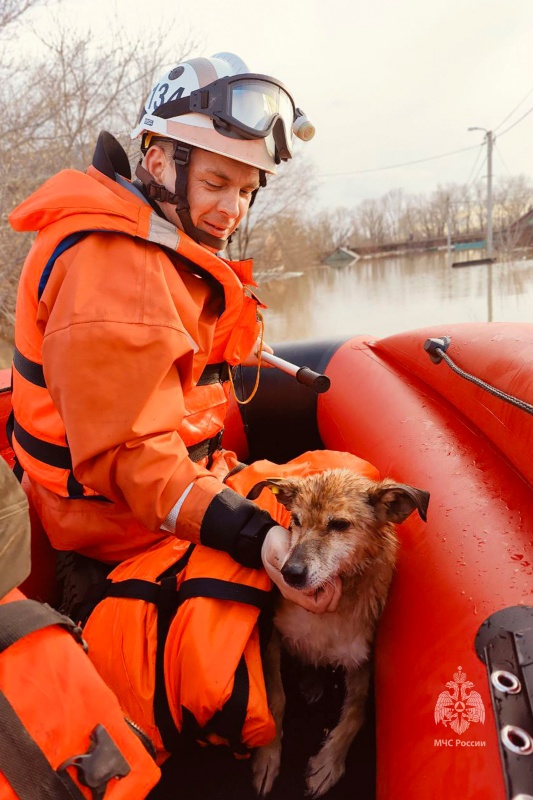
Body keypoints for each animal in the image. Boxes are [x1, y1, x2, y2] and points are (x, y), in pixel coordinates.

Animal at [249, 466, 428, 796]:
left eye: (340, 525)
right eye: (296, 520)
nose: (289, 573)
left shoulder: (360, 661)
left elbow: (356, 713)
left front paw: (328, 763)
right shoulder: (275, 639)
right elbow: (276, 697)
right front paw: (267, 757)